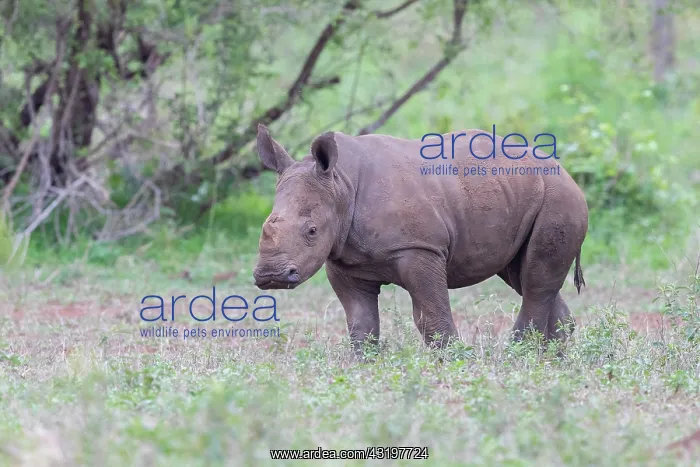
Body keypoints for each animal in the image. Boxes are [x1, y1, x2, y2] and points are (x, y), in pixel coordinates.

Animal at [252, 124, 588, 353]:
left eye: (311, 231)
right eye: (264, 227)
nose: (270, 276)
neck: (341, 184)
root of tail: (565, 171)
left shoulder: (420, 249)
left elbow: (431, 316)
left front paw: (453, 361)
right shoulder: (343, 260)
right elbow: (361, 322)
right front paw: (362, 364)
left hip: (558, 198)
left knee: (535, 277)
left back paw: (516, 355)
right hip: (520, 193)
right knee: (522, 275)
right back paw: (550, 357)